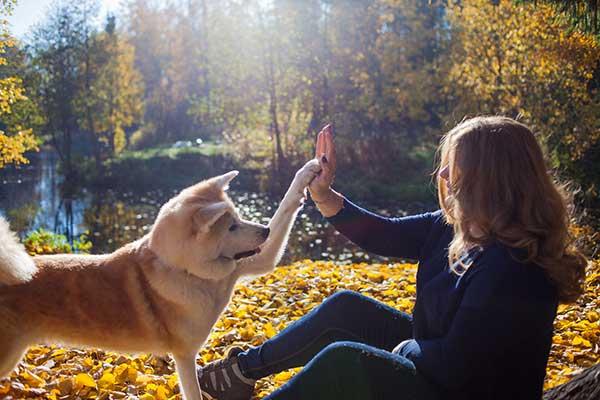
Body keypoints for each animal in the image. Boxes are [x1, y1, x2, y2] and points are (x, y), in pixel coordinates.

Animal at [0, 159, 324, 400]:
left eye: (239, 217)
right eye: (231, 226)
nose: (264, 232)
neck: (188, 272)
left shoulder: (255, 261)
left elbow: (285, 208)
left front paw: (309, 171)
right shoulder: (184, 356)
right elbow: (193, 393)